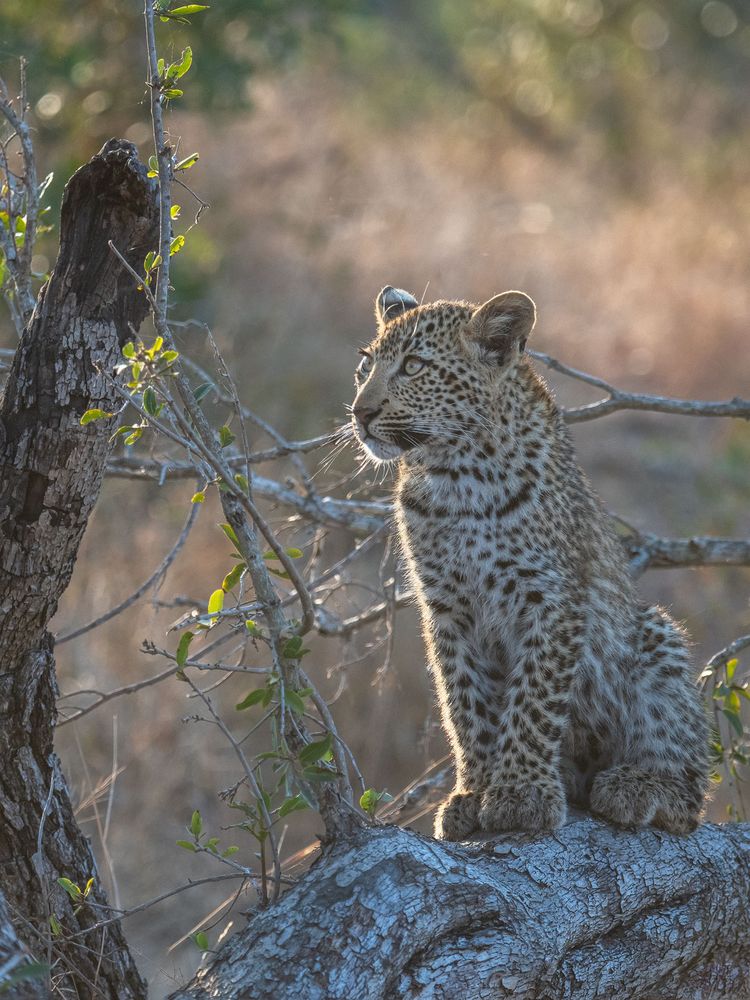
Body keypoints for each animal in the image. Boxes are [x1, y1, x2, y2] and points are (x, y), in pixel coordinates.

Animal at [352, 286, 712, 840]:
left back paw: (636, 786)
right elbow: (465, 701)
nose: (359, 413)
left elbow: (533, 699)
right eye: (364, 368)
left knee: (687, 784)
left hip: (655, 636)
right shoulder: (447, 607)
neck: (454, 477)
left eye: (413, 367)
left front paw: (521, 793)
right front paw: (474, 793)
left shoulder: (551, 598)